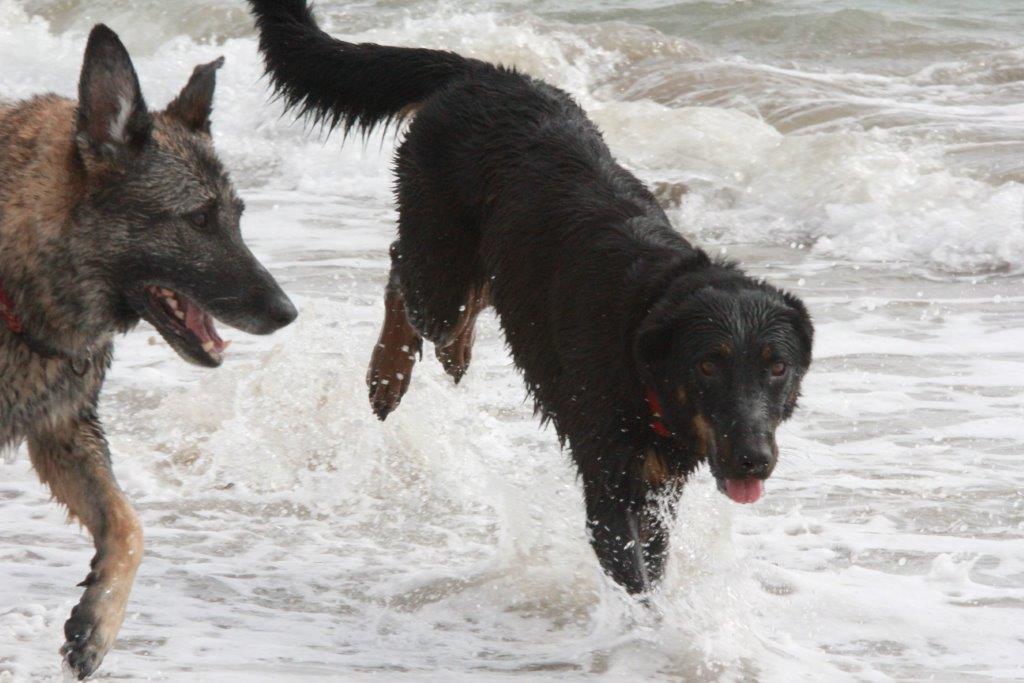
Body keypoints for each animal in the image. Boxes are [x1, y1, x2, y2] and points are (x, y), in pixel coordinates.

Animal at [0, 25, 297, 678]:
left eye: (237, 216)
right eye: (199, 219)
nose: (287, 312)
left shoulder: (65, 431)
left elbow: (130, 527)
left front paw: (98, 623)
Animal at [247, 0, 812, 595]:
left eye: (777, 367)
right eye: (708, 365)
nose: (754, 461)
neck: (640, 333)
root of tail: (480, 72)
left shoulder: (657, 484)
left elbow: (655, 565)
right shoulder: (608, 481)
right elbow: (636, 580)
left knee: (475, 290)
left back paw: (452, 352)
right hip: (438, 264)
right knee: (408, 275)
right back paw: (388, 374)